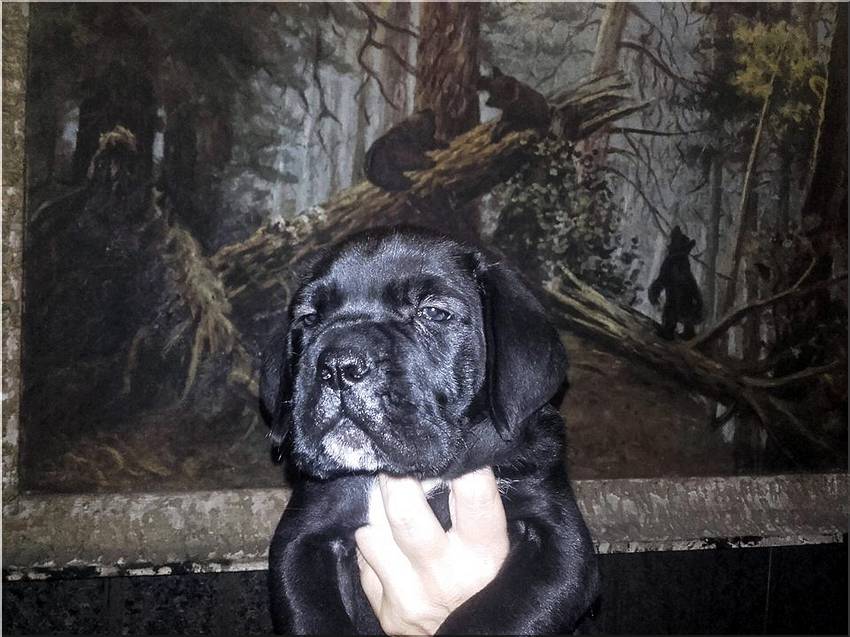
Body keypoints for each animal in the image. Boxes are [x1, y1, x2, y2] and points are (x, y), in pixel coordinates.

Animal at [261, 228, 599, 634]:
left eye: (433, 312)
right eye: (310, 319)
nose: (338, 365)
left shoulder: (559, 541)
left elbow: (486, 616)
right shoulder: (303, 536)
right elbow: (314, 618)